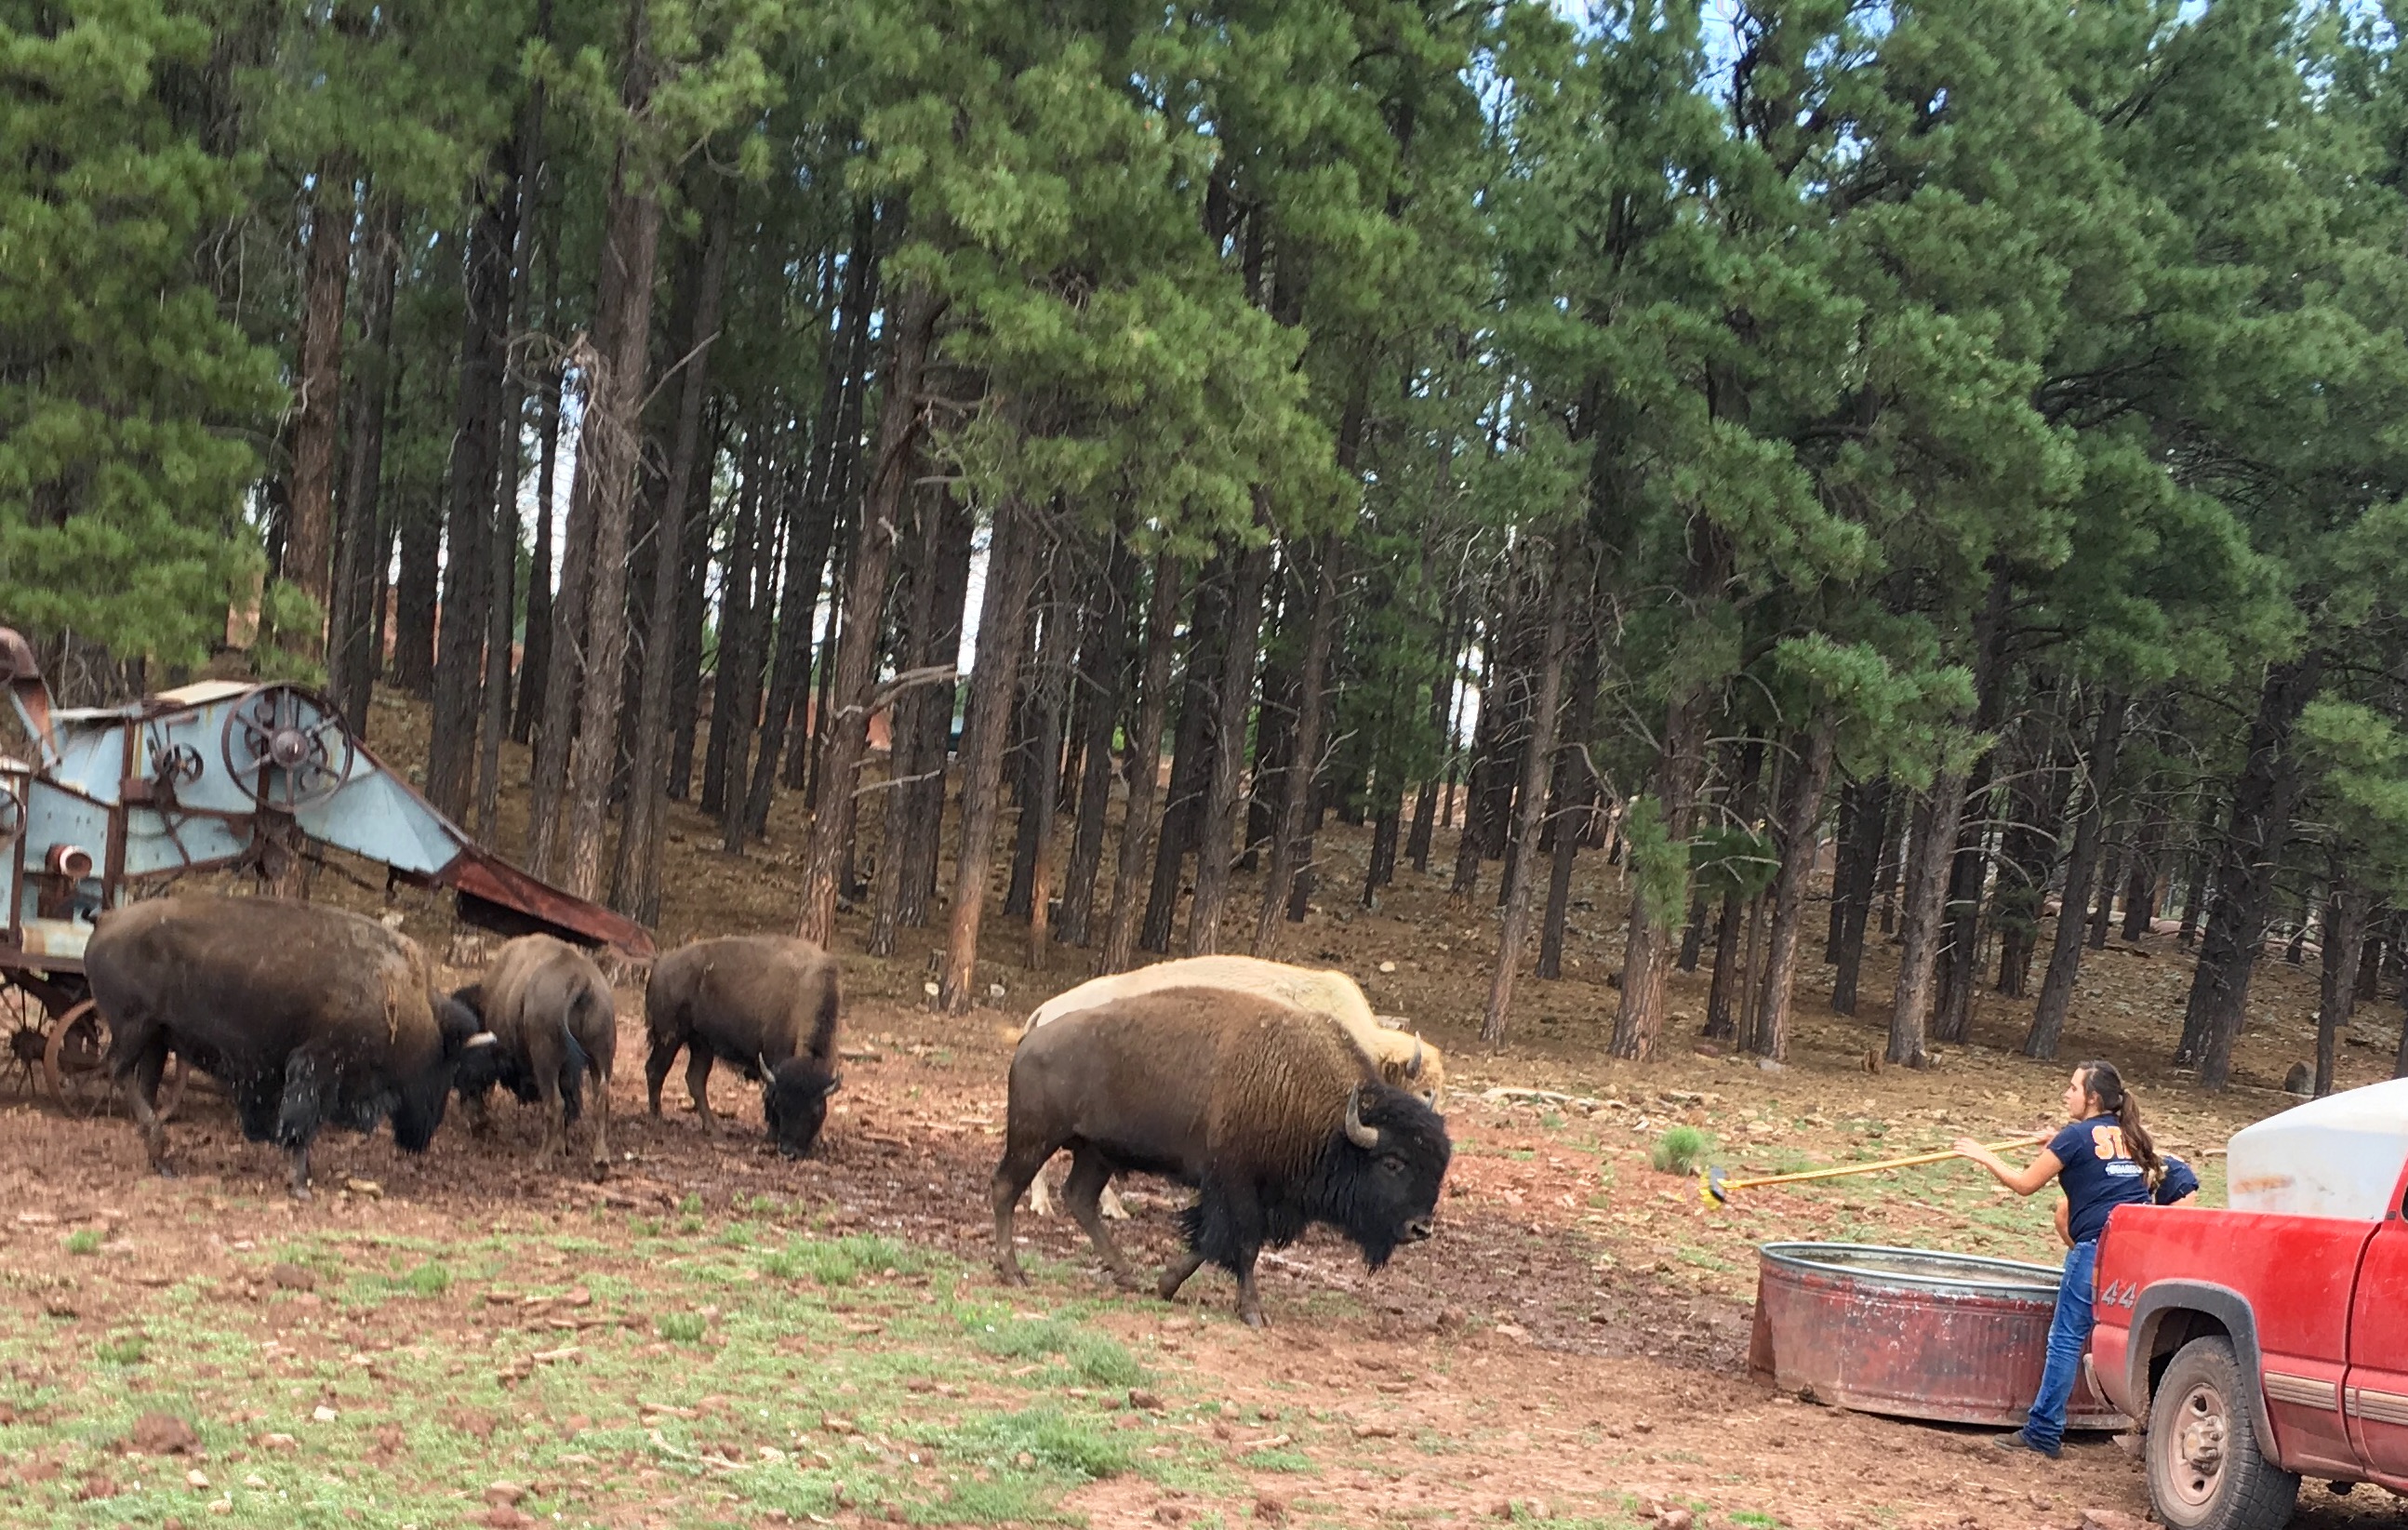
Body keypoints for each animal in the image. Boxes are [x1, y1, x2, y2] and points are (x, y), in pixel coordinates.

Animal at [87, 894, 495, 1198]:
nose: (423, 1135)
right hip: (135, 1028)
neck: (401, 996)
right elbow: (301, 1123)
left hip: (156, 1038)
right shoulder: (316, 1065)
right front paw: (300, 1184)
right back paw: (160, 1146)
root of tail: (107, 918)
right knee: (117, 1070)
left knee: (142, 1083)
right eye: (447, 1066)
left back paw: (162, 1160)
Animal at [451, 934, 616, 1169]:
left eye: (464, 1066)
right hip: (601, 1057)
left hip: (546, 1060)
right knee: (600, 1101)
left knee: (555, 1104)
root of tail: (580, 979)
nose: (477, 1126)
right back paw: (600, 1158)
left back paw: (542, 1160)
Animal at [643, 935, 841, 1156]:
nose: (788, 1150)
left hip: (701, 1044)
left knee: (695, 1079)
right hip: (669, 1037)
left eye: (816, 1110)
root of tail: (660, 962)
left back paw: (714, 1129)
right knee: (655, 1070)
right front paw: (770, 1137)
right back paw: (658, 1118)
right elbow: (767, 1094)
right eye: (780, 1103)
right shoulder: (773, 1062)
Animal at [993, 986, 1451, 1327]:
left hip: (1096, 1153)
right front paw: (1253, 1312)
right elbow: (1242, 1245)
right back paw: (1015, 1274)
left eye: (1438, 1165)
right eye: (1393, 1163)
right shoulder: (1237, 1186)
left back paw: (1127, 1275)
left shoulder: (1257, 1195)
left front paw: (1165, 1284)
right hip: (1035, 1139)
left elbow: (1210, 1241)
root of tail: (1029, 1040)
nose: (1420, 1228)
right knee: (1006, 1189)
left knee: (1080, 1198)